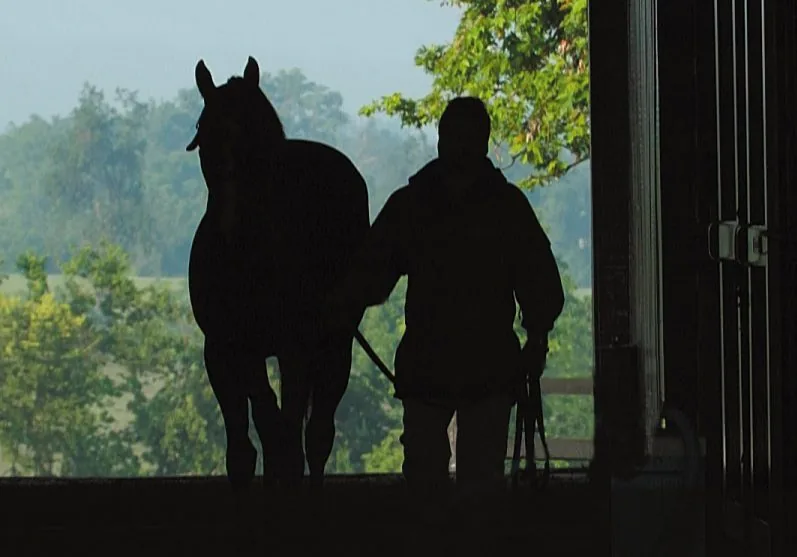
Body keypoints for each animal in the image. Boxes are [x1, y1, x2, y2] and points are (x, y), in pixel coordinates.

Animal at [185, 56, 370, 491]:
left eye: (258, 134)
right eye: (206, 133)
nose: (234, 224)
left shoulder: (293, 349)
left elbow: (285, 438)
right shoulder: (223, 349)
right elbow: (248, 444)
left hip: (336, 343)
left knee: (318, 435)